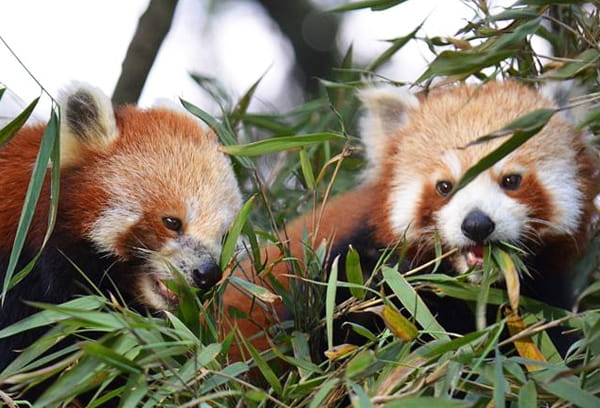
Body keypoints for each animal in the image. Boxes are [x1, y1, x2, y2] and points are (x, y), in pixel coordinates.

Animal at [224, 80, 600, 360]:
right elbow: (326, 337)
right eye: (445, 186)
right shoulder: (348, 271)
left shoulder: (543, 297)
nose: (476, 224)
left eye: (511, 180)